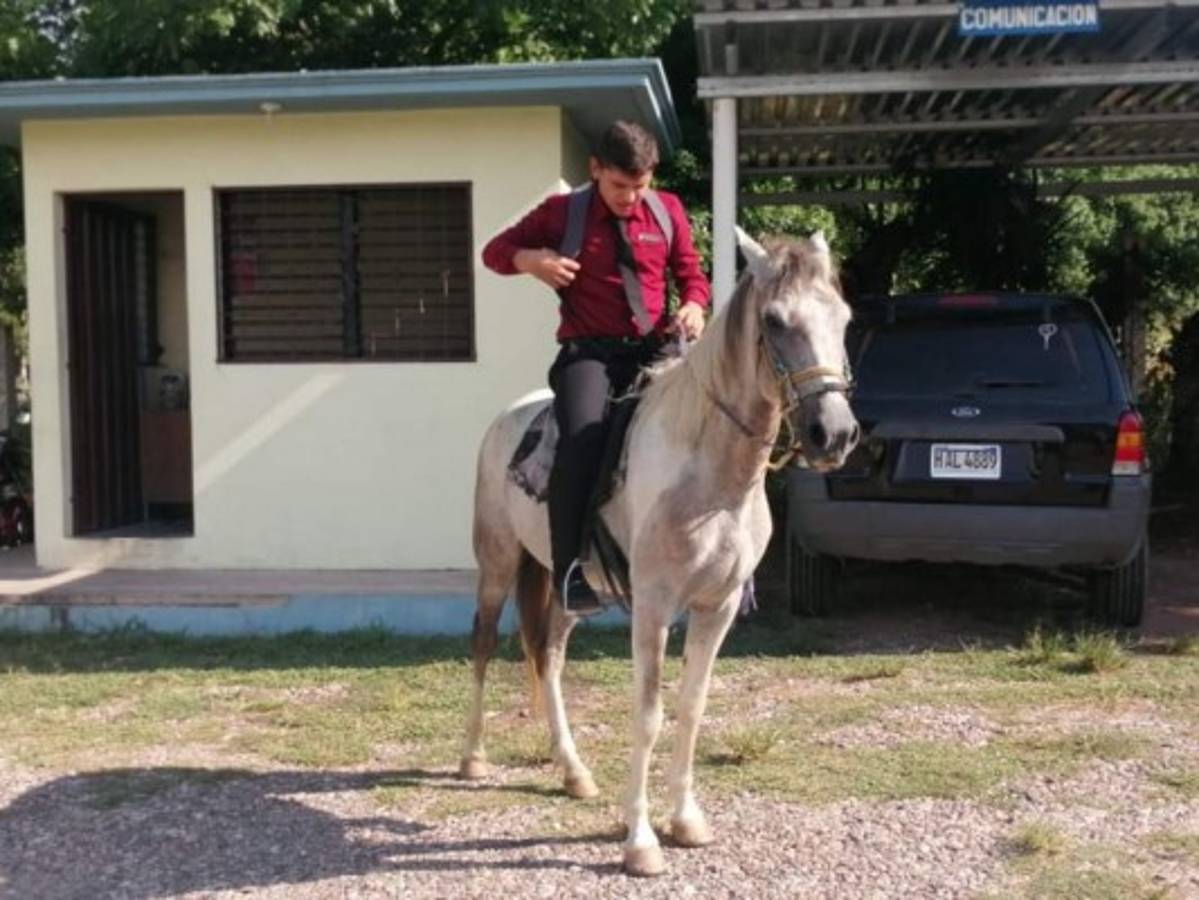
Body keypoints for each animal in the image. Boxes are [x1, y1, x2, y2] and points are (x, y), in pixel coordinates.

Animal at [459, 228, 860, 876]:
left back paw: (573, 771)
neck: (711, 471)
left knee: (549, 656)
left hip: (570, 591)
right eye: (774, 321)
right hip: (496, 564)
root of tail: (507, 418)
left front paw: (686, 820)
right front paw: (641, 840)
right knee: (484, 643)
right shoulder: (653, 606)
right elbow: (648, 714)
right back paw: (472, 757)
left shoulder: (717, 606)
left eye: (843, 318)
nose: (835, 435)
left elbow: (692, 707)